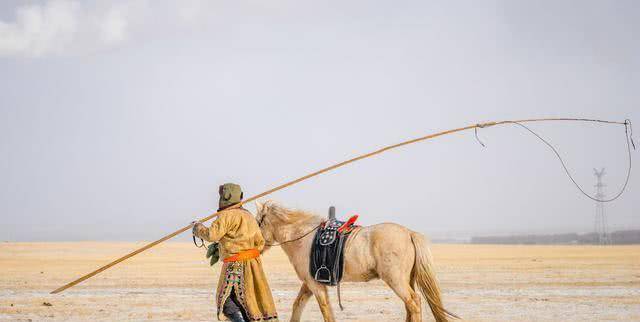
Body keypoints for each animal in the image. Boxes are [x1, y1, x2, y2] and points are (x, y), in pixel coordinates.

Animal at [254, 201, 456, 322]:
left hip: (396, 281)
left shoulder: (316, 285)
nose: (255, 249)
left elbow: (325, 310)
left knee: (413, 302)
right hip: (408, 280)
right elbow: (298, 306)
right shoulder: (308, 284)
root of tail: (409, 233)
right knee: (410, 305)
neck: (305, 239)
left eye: (257, 222)